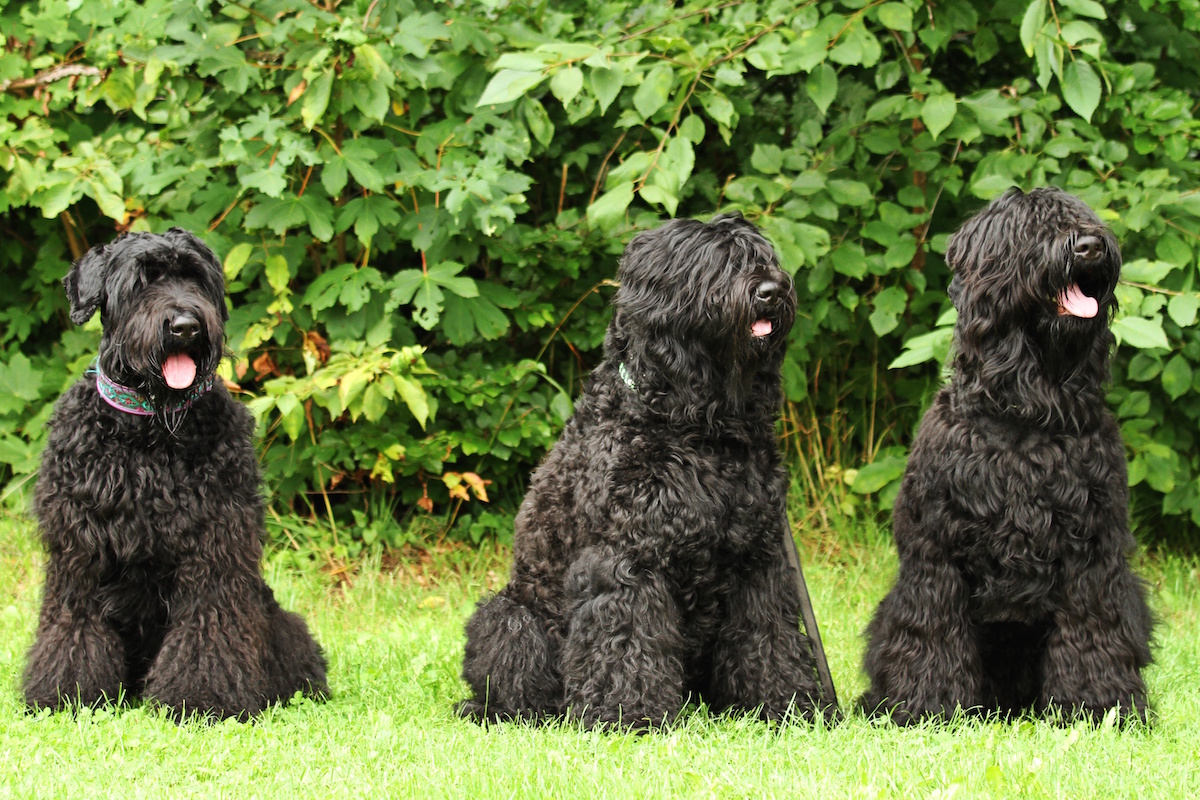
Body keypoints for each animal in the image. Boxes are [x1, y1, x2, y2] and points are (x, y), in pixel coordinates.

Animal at [24, 227, 328, 724]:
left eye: (196, 278)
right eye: (140, 282)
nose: (185, 325)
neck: (149, 433)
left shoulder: (217, 547)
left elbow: (209, 627)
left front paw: (203, 700)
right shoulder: (79, 553)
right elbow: (74, 625)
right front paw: (65, 695)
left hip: (276, 618)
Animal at [453, 215, 830, 729]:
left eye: (763, 258)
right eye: (713, 263)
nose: (771, 290)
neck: (696, 427)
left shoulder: (759, 559)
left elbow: (768, 637)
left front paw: (783, 705)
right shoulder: (628, 556)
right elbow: (627, 638)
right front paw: (627, 715)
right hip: (510, 616)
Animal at [864, 188, 1152, 724]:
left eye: (1082, 217)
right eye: (1029, 229)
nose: (1089, 246)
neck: (1026, 411)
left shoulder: (1093, 554)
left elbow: (1092, 630)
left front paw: (1097, 707)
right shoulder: (936, 554)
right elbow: (932, 632)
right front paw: (926, 708)